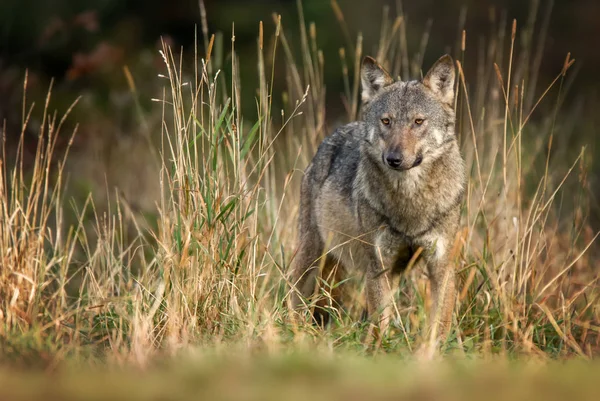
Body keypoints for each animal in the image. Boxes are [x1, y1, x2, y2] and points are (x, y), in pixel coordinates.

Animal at [290, 54, 464, 344]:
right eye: (386, 121)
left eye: (418, 122)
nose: (393, 159)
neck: (410, 205)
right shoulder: (378, 265)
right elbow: (379, 325)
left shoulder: (441, 267)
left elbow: (438, 326)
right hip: (312, 256)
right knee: (294, 297)